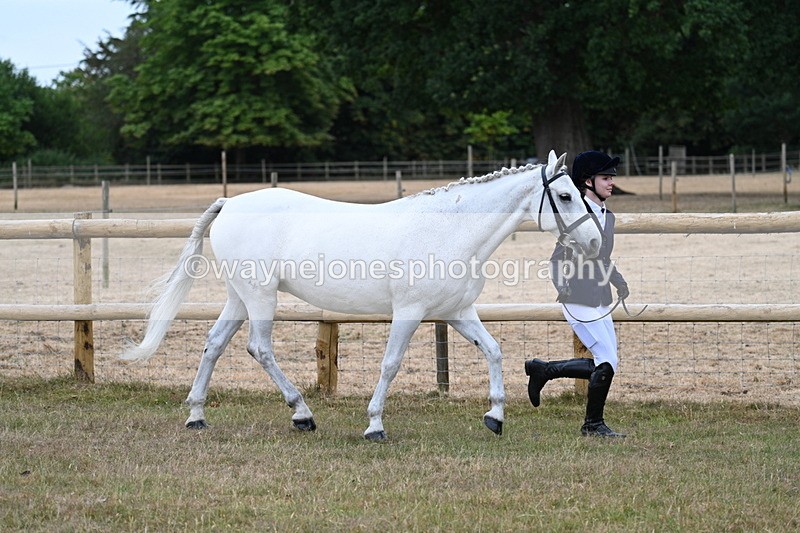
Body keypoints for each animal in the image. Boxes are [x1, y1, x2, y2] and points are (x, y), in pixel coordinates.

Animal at [122, 150, 601, 441]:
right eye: (564, 195)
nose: (596, 241)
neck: (448, 230)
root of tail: (230, 203)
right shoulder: (409, 312)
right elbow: (390, 364)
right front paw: (374, 426)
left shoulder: (457, 312)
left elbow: (495, 351)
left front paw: (495, 418)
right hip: (260, 297)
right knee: (259, 348)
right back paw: (302, 414)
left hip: (240, 297)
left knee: (214, 345)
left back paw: (196, 416)